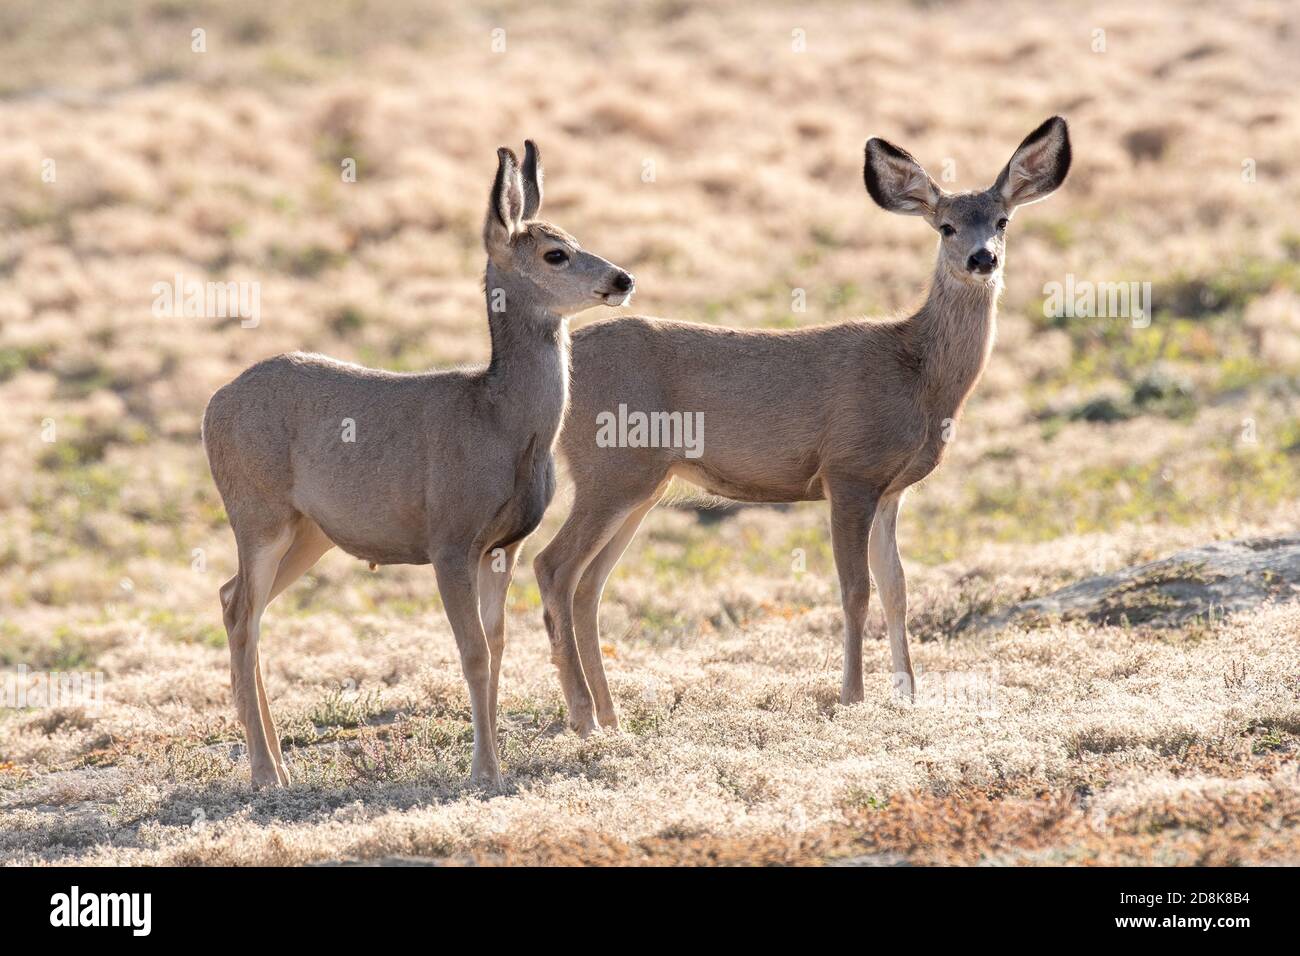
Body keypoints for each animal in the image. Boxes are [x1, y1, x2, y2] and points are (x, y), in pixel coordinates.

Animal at [198, 140, 639, 785]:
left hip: (310, 532)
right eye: (555, 253)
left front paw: (495, 760)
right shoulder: (449, 538)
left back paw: (278, 764)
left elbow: (498, 646)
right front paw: (485, 771)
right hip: (257, 512)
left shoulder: (505, 545)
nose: (622, 278)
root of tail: (212, 406)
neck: (500, 421)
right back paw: (265, 773)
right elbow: (473, 651)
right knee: (241, 612)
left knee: (237, 600)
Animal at [533, 115, 1071, 738]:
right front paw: (852, 697)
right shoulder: (849, 470)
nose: (983, 259)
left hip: (641, 485)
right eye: (946, 226)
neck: (916, 372)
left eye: (1002, 220)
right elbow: (855, 590)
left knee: (588, 585)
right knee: (553, 567)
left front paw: (909, 695)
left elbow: (897, 588)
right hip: (611, 469)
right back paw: (583, 718)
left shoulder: (891, 489)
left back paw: (610, 716)